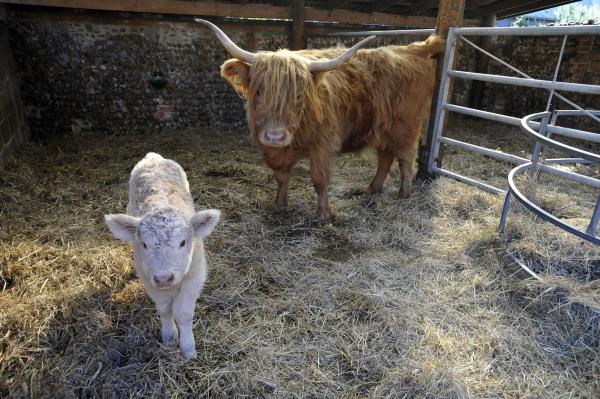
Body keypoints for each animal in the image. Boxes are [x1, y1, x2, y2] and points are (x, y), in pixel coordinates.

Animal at [104, 152, 219, 360]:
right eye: (144, 244)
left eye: (183, 242)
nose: (164, 278)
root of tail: (153, 157)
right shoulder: (149, 278)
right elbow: (165, 309)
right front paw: (169, 337)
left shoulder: (195, 277)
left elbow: (184, 313)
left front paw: (188, 349)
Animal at [198, 19, 446, 222]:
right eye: (259, 91)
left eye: (299, 95)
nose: (275, 136)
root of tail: (413, 48)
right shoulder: (274, 150)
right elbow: (281, 176)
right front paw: (279, 205)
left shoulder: (323, 144)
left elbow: (319, 179)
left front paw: (324, 216)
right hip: (382, 127)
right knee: (385, 157)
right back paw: (372, 189)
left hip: (406, 125)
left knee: (405, 158)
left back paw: (403, 194)